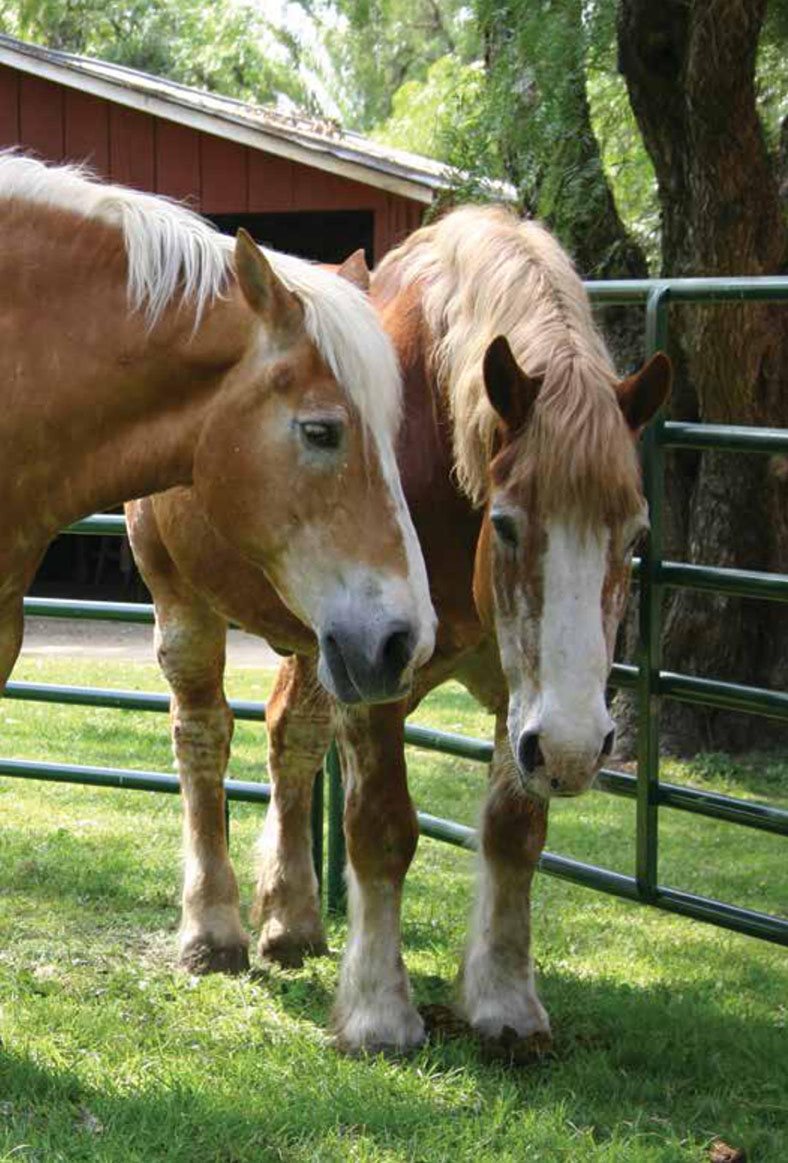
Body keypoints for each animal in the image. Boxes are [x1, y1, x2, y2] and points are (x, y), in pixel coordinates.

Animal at [127, 204, 674, 1051]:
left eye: (636, 534)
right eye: (508, 525)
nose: (578, 747)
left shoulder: (507, 691)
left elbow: (513, 832)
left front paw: (505, 1002)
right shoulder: (380, 679)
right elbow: (382, 828)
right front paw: (379, 1011)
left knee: (292, 739)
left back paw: (292, 919)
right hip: (183, 601)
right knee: (203, 740)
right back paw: (213, 932)